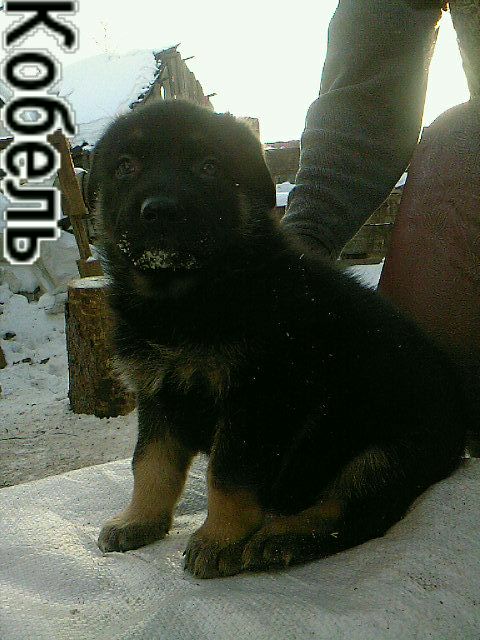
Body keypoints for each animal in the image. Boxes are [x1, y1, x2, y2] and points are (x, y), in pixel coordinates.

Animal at [89, 100, 466, 579]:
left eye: (208, 167)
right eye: (125, 167)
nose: (159, 211)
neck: (186, 296)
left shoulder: (259, 398)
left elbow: (228, 474)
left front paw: (220, 538)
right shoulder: (158, 391)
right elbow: (150, 463)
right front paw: (138, 519)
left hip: (385, 453)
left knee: (351, 510)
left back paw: (283, 536)